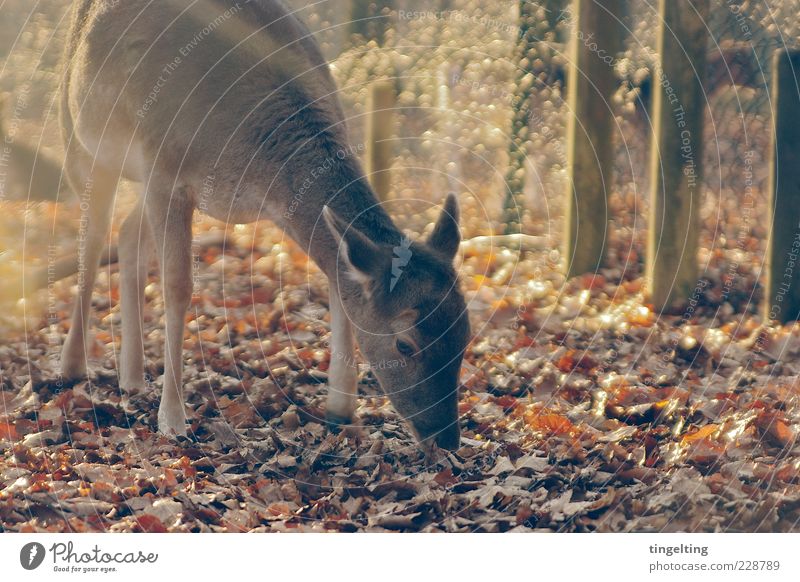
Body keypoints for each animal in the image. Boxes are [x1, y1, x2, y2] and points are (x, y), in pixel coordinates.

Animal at [59, 0, 472, 452]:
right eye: (404, 343)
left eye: (466, 332)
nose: (447, 437)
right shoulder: (164, 168)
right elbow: (178, 285)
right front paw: (173, 419)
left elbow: (338, 281)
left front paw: (340, 410)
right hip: (80, 138)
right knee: (92, 238)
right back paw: (71, 366)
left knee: (129, 234)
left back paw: (131, 378)